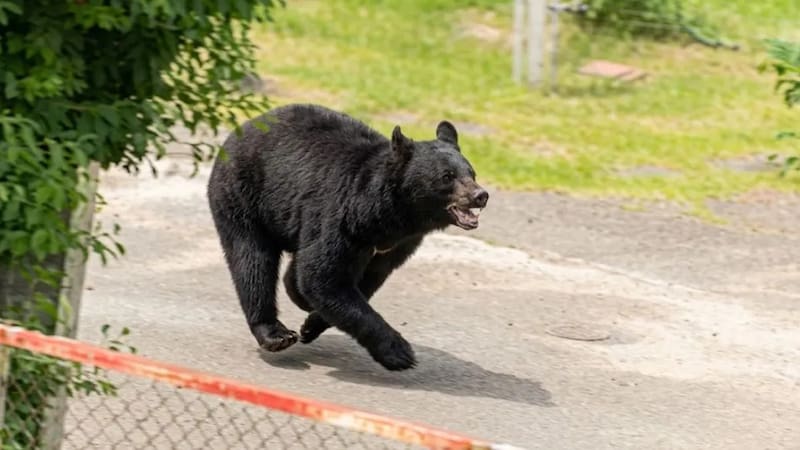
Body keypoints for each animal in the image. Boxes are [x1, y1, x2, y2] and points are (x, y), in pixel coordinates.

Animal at [207, 104, 488, 371]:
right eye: (447, 176)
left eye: (472, 173)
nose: (481, 195)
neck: (391, 216)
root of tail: (244, 126)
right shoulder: (341, 217)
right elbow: (322, 277)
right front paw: (399, 352)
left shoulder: (398, 245)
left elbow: (364, 280)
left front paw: (311, 323)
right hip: (243, 197)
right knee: (253, 262)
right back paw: (275, 333)